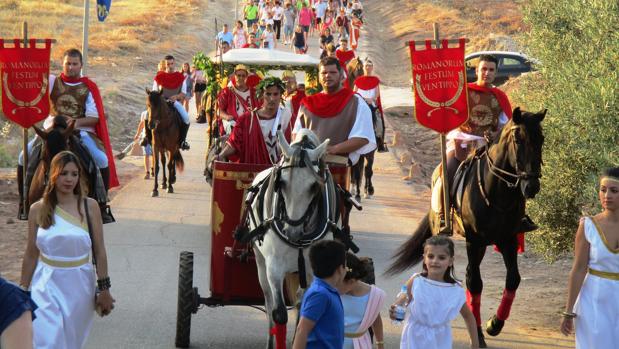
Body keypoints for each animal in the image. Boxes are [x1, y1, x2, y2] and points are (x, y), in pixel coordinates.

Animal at [240, 129, 340, 346]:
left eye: (314, 186)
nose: (293, 232)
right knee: (269, 302)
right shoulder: (274, 267)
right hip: (260, 262)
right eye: (282, 183)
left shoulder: (315, 268)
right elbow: (279, 313)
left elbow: (306, 307)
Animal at [388, 108, 548, 346]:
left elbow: (513, 279)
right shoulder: (475, 241)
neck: (495, 191)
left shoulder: (508, 239)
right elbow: (475, 283)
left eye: (541, 139)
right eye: (518, 139)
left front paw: (494, 324)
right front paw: (479, 333)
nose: (532, 186)